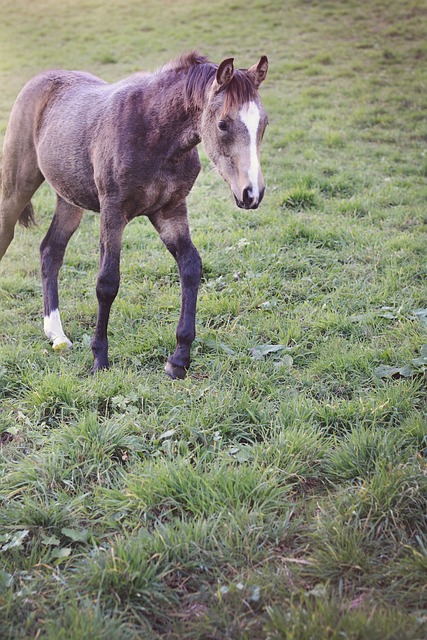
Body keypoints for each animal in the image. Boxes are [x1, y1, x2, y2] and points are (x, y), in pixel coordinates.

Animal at [0, 53, 268, 380]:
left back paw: (56, 334)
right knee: (7, 235)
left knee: (51, 250)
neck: (154, 134)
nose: (251, 193)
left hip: (68, 198)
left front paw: (179, 360)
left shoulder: (170, 210)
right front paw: (100, 359)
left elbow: (191, 267)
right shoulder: (113, 211)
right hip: (17, 186)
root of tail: (40, 80)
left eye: (264, 123)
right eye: (222, 124)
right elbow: (107, 282)